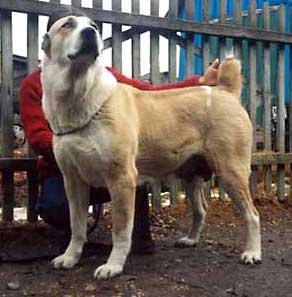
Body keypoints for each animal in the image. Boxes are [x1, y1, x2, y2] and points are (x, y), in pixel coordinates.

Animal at [40, 15, 262, 278]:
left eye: (94, 26)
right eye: (67, 25)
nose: (90, 33)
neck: (80, 94)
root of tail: (224, 91)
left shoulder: (121, 179)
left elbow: (120, 230)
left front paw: (113, 265)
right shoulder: (73, 181)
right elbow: (77, 226)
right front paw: (70, 257)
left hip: (231, 172)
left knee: (252, 215)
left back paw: (252, 253)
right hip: (190, 176)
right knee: (201, 210)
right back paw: (191, 239)